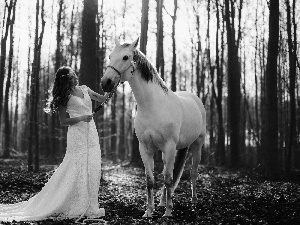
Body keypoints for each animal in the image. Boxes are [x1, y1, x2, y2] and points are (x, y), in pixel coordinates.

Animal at [101, 37, 206, 217]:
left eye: (125, 57)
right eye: (110, 56)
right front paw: (149, 211)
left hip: (196, 144)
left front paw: (168, 213)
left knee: (192, 173)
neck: (152, 106)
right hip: (169, 152)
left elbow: (169, 179)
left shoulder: (169, 146)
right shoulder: (145, 148)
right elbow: (151, 180)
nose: (105, 83)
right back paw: (163, 202)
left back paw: (193, 203)